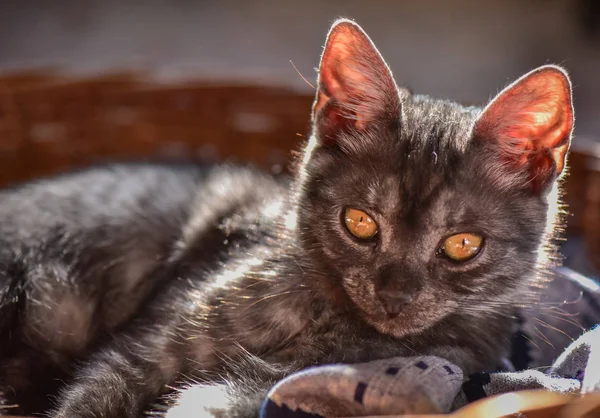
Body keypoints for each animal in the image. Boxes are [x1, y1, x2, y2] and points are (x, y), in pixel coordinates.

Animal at [0, 18, 576, 416]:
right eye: (359, 222)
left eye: (462, 245)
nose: (394, 298)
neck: (329, 320)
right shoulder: (145, 347)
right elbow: (92, 394)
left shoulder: (267, 387)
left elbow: (204, 400)